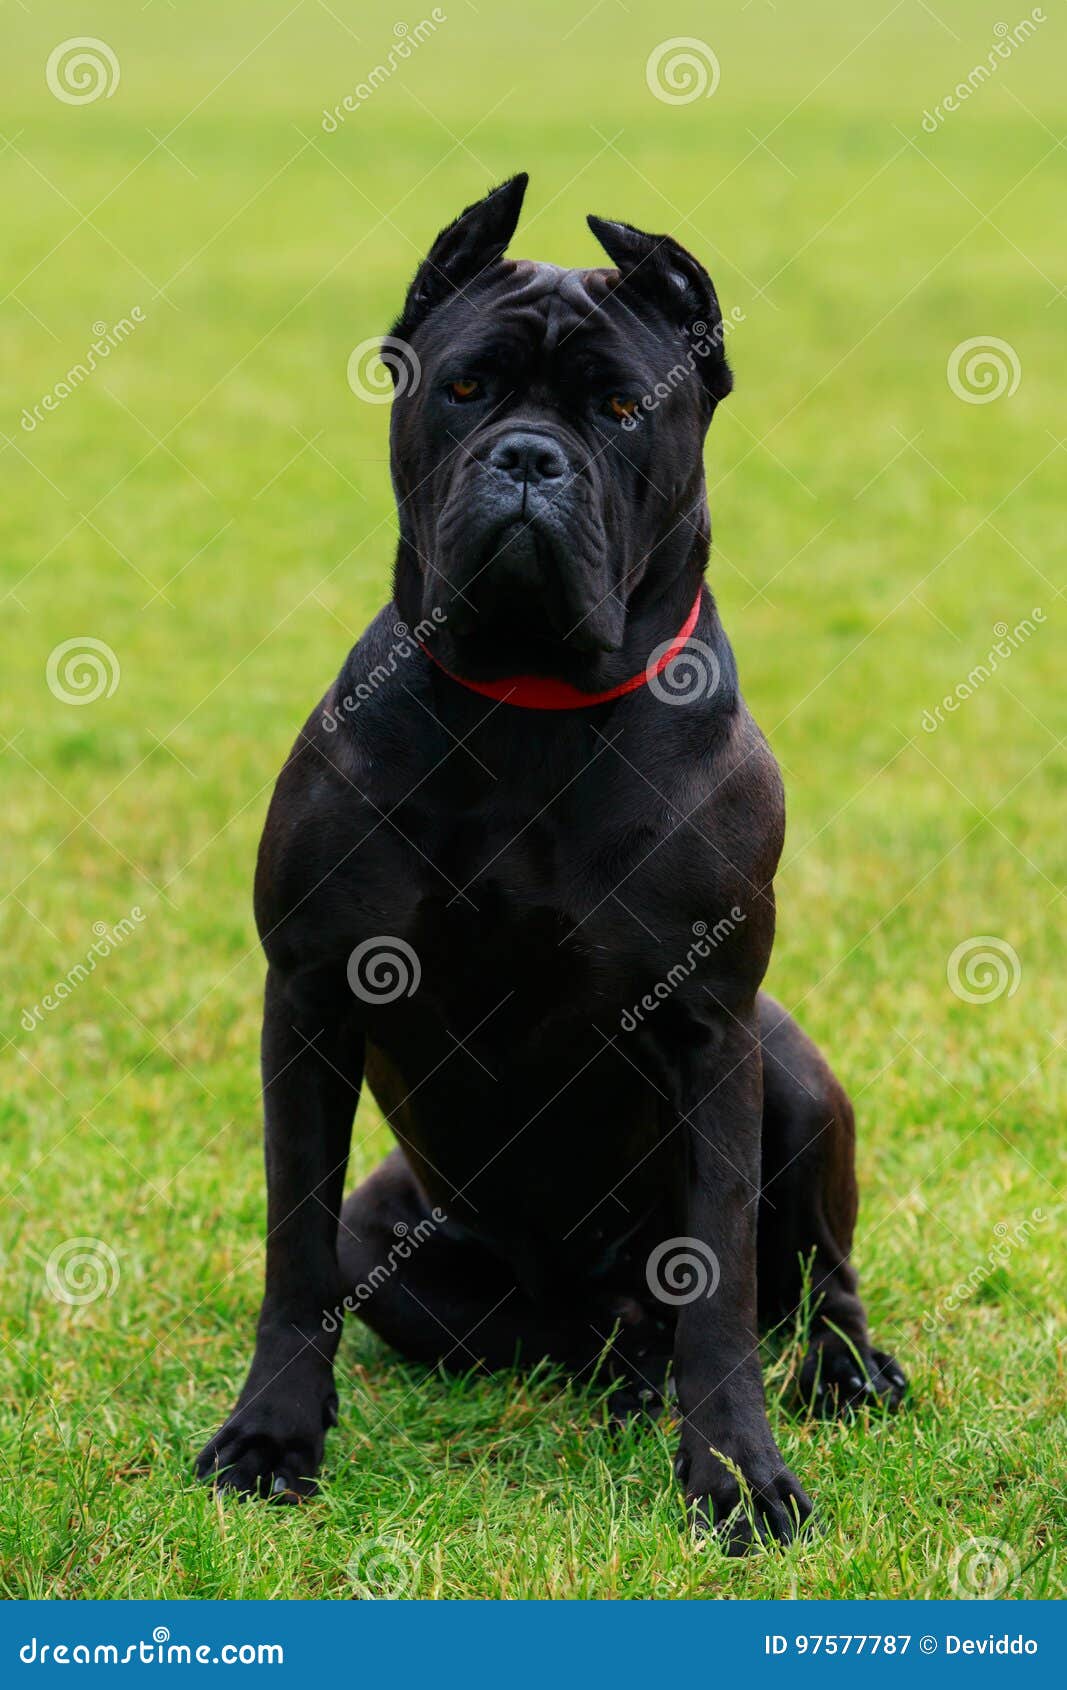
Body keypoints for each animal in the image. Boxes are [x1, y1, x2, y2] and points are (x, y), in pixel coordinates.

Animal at [196, 178, 906, 1548]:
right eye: (465, 389)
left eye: (621, 409)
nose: (529, 460)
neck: (528, 702)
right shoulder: (310, 996)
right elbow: (292, 1250)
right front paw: (270, 1436)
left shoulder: (708, 1025)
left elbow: (722, 1281)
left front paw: (738, 1476)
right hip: (394, 1232)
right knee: (556, 1328)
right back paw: (624, 1369)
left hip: (791, 1075)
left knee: (816, 1281)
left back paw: (842, 1373)